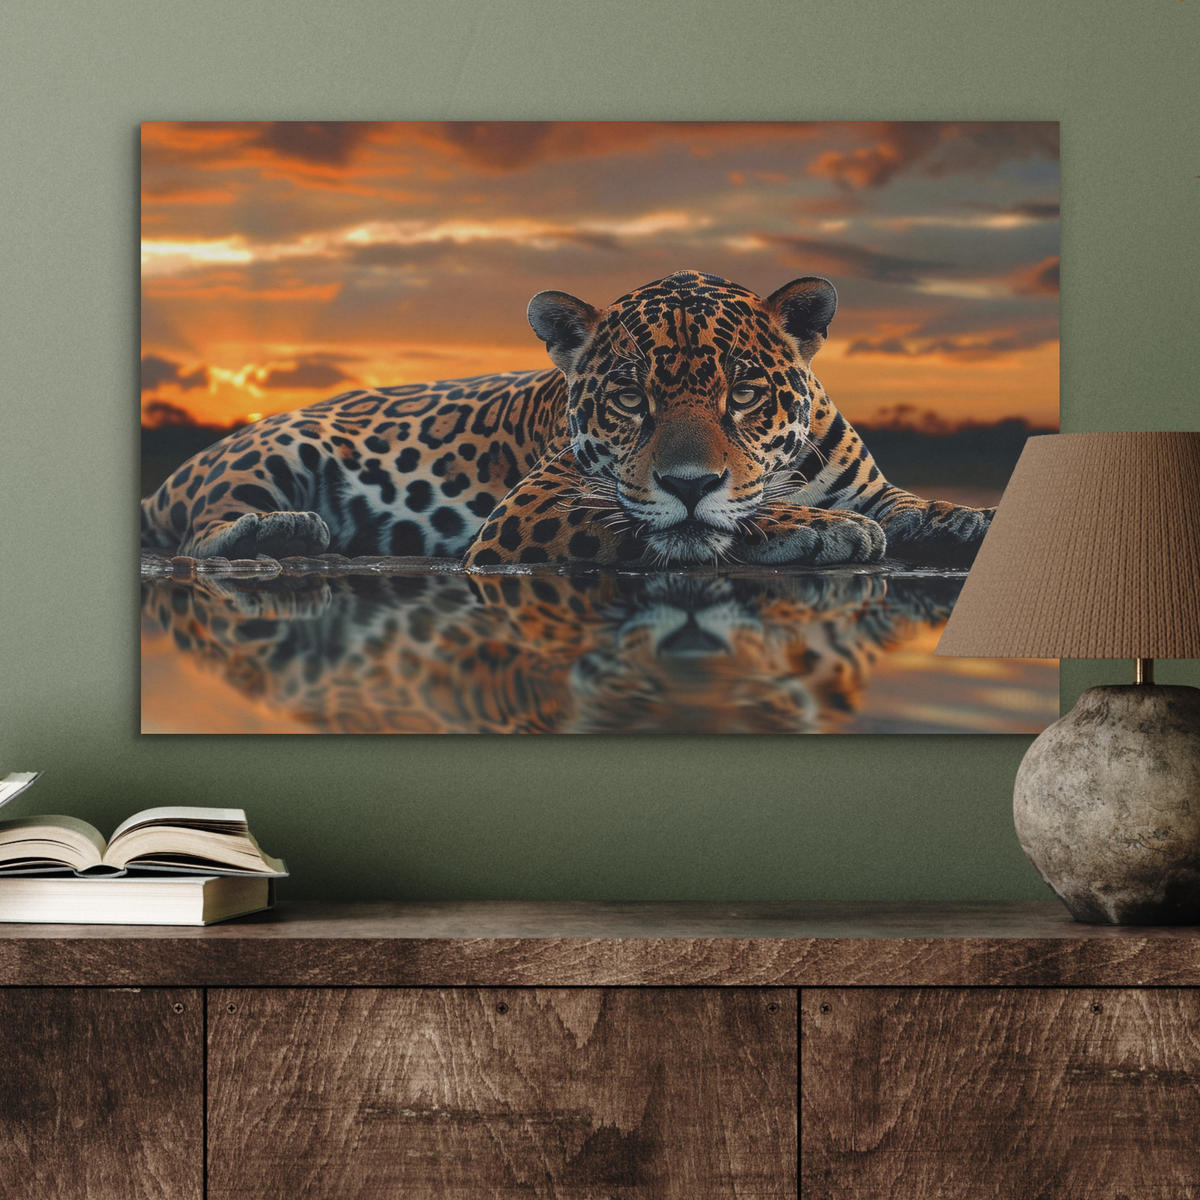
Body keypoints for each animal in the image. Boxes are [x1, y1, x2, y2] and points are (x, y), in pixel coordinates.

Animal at [140, 270, 994, 568]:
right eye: (630, 398)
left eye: (744, 394)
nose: (689, 481)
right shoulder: (538, 506)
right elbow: (712, 518)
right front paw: (819, 529)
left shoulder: (870, 485)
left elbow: (914, 503)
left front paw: (973, 519)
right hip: (274, 449)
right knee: (199, 533)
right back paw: (283, 530)